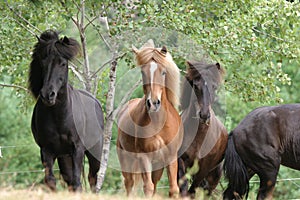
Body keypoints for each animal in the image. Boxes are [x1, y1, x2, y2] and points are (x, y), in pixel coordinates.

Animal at [29, 30, 104, 192]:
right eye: (43, 62)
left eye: (63, 63)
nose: (47, 95)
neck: (60, 117)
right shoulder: (47, 150)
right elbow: (51, 180)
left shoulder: (77, 149)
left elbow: (77, 182)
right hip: (64, 156)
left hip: (94, 153)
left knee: (92, 179)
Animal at [116, 39, 183, 198]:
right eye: (142, 72)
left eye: (163, 72)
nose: (153, 103)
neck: (158, 123)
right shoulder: (143, 157)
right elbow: (148, 187)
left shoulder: (170, 157)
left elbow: (173, 189)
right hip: (126, 159)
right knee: (129, 184)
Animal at [177, 61, 229, 197]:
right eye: (195, 86)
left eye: (214, 87)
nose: (204, 115)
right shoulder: (181, 161)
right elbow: (183, 188)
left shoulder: (204, 168)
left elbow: (192, 191)